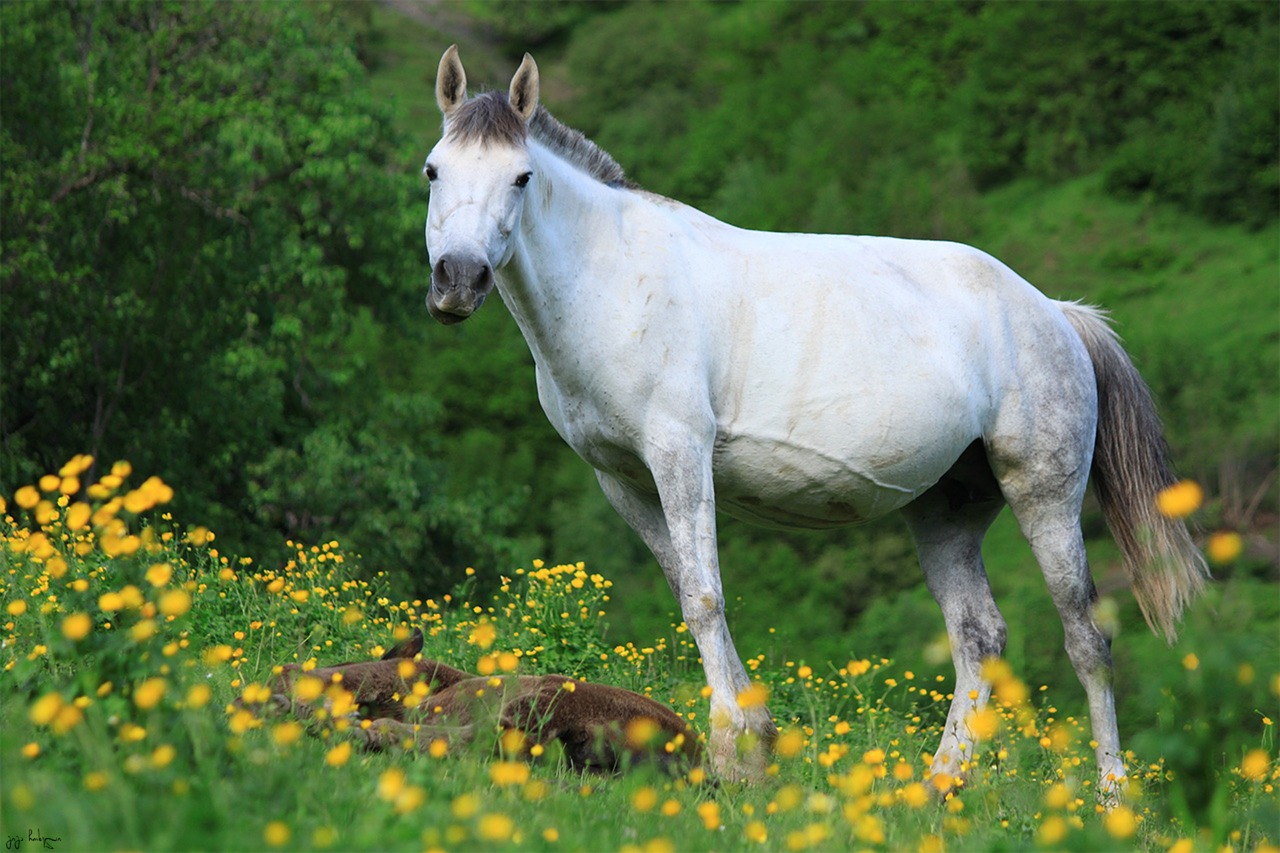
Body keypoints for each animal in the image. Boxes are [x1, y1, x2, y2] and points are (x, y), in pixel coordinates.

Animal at [422, 46, 1208, 788]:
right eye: (433, 171)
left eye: (521, 177)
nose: (457, 281)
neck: (612, 279)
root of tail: (1057, 314)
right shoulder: (623, 481)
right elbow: (687, 592)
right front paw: (755, 743)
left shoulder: (679, 452)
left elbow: (704, 598)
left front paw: (733, 751)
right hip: (946, 508)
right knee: (978, 635)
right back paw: (939, 790)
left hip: (1044, 494)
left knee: (1086, 639)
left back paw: (1111, 797)